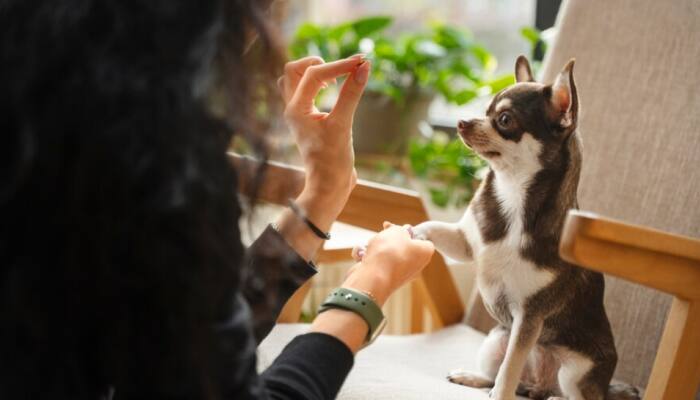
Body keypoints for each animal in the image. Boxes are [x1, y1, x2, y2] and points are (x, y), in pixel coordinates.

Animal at [412, 57, 644, 400]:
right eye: (484, 110)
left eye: (505, 120)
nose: (462, 122)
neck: (512, 194)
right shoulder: (465, 243)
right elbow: (434, 227)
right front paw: (410, 233)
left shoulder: (529, 318)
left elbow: (510, 368)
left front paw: (500, 395)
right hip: (495, 341)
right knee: (505, 377)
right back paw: (474, 377)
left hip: (576, 372)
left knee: (565, 392)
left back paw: (549, 396)